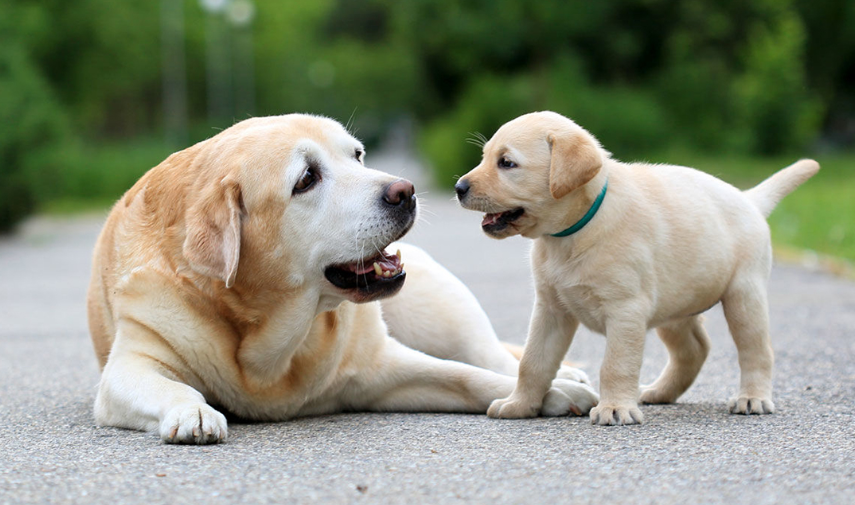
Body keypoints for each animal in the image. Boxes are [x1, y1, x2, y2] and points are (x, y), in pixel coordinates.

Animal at [85, 113, 596, 440]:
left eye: (358, 155)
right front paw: (192, 410)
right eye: (306, 178)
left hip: (442, 309)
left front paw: (549, 394)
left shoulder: (381, 365)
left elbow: (470, 377)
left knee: (490, 354)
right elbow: (168, 384)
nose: (406, 191)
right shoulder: (128, 367)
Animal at [454, 110, 824, 426]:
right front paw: (520, 404)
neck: (574, 232)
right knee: (695, 349)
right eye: (485, 157)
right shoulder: (551, 310)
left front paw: (615, 407)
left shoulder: (625, 310)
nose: (459, 188)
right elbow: (533, 362)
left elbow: (615, 365)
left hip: (743, 297)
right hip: (674, 308)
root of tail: (749, 199)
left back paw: (753, 398)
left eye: (507, 163)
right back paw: (659, 391)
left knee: (756, 351)